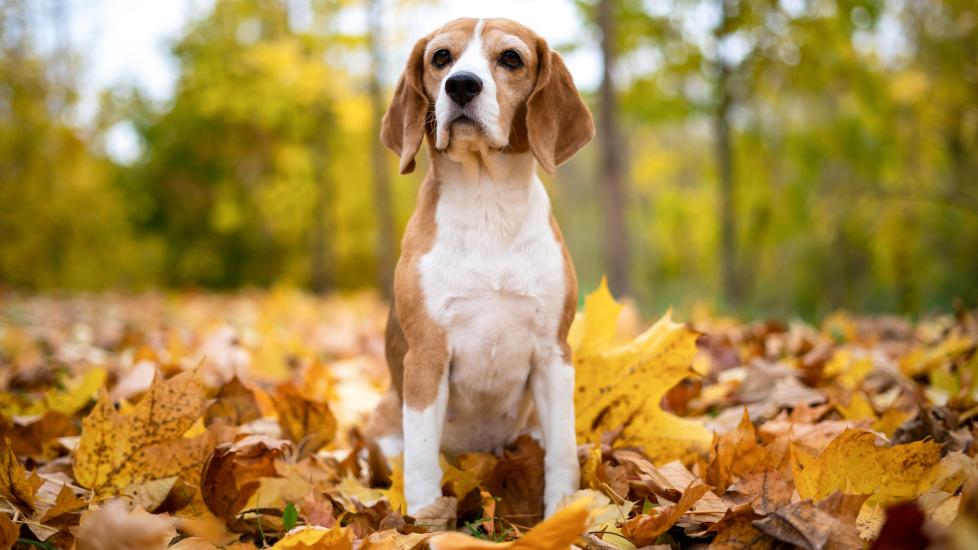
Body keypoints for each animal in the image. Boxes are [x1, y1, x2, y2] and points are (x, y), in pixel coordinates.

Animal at [366, 17, 596, 520]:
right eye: (441, 58)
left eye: (510, 58)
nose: (461, 85)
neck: (487, 202)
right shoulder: (426, 356)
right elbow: (421, 460)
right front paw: (424, 520)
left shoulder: (554, 354)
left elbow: (563, 453)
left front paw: (563, 515)